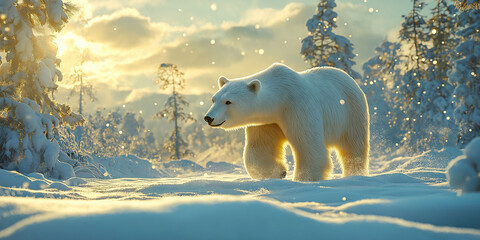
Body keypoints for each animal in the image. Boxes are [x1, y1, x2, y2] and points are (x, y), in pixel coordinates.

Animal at [204, 62, 370, 181]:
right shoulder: (267, 120)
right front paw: (278, 172)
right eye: (214, 99)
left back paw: (354, 173)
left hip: (350, 113)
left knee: (353, 146)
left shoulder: (297, 106)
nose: (208, 118)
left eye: (228, 102)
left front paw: (303, 179)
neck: (281, 95)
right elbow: (260, 147)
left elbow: (309, 146)